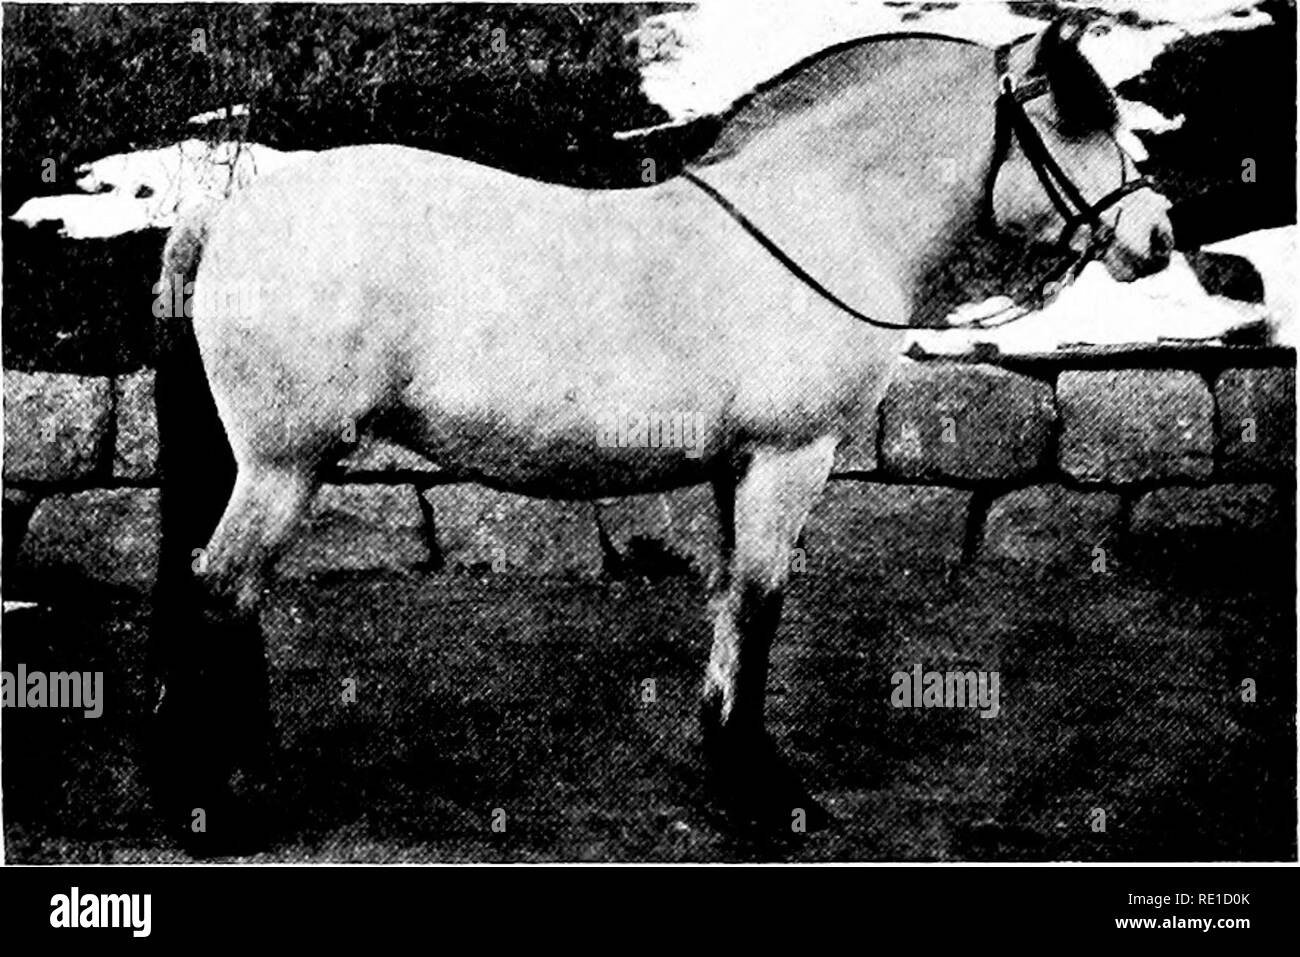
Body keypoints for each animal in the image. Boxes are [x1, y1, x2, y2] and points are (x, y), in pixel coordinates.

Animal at [149, 19, 1174, 851]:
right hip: (283, 466)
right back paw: (221, 805)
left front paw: (730, 770)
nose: (1159, 234)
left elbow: (727, 604)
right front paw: (769, 797)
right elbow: (759, 608)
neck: (816, 221)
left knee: (220, 591)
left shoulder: (737, 467)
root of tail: (226, 214)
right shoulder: (786, 460)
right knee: (221, 587)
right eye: (1075, 118)